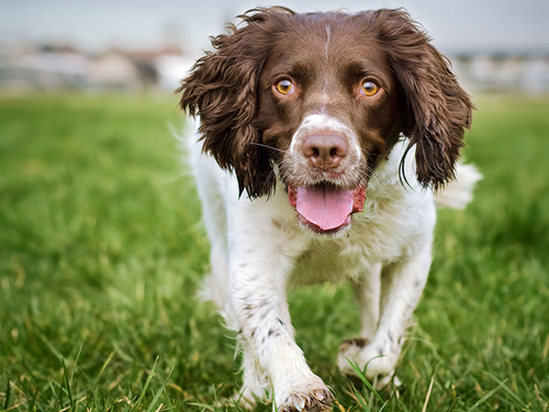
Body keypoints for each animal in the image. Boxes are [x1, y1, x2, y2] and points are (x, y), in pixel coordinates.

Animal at [177, 7, 480, 412]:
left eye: (369, 86)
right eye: (284, 85)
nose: (323, 148)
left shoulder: (414, 251)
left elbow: (388, 337)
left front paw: (358, 359)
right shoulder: (253, 263)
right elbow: (270, 330)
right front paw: (298, 387)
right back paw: (253, 390)